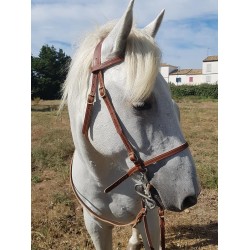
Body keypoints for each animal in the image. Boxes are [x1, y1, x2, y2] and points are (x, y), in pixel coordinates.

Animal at [61, 0, 200, 249]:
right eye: (142, 105)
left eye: (176, 108)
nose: (189, 196)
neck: (104, 182)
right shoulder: (96, 227)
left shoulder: (151, 219)